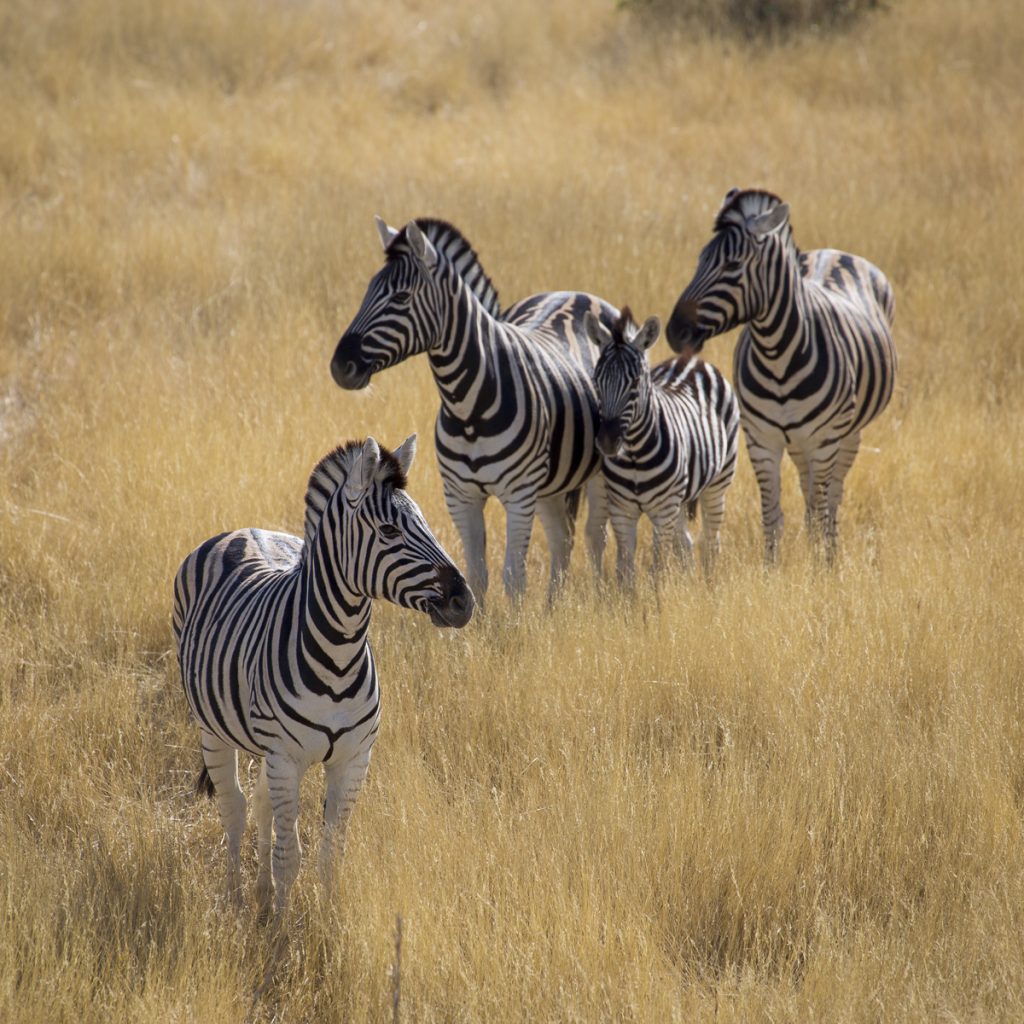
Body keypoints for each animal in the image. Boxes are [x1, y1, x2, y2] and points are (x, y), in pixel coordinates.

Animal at [173, 436, 475, 917]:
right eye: (389, 532)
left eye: (426, 524)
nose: (464, 602)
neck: (340, 654)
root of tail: (242, 530)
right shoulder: (285, 757)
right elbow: (289, 856)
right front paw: (280, 929)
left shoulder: (353, 760)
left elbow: (332, 852)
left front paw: (326, 920)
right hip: (211, 729)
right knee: (234, 808)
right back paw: (237, 899)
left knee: (259, 805)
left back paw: (259, 894)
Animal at [329, 216, 614, 598]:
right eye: (367, 291)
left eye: (401, 297)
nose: (340, 366)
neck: (467, 406)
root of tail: (577, 293)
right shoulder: (461, 497)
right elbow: (477, 575)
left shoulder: (518, 495)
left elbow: (513, 577)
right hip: (548, 484)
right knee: (562, 538)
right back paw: (553, 605)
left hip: (600, 471)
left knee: (594, 536)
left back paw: (604, 597)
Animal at [585, 305, 737, 585]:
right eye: (596, 379)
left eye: (635, 381)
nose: (608, 442)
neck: (635, 454)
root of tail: (690, 359)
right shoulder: (622, 511)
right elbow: (625, 571)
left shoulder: (663, 511)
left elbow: (657, 568)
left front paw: (659, 596)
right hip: (680, 497)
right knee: (685, 543)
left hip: (718, 483)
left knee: (711, 543)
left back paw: (709, 586)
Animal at [663, 188, 897, 565]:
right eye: (700, 259)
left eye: (732, 265)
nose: (674, 332)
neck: (778, 357)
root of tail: (832, 251)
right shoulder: (761, 440)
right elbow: (772, 515)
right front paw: (770, 569)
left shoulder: (823, 441)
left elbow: (821, 510)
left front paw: (820, 569)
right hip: (799, 442)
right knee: (810, 492)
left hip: (846, 435)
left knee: (832, 498)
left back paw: (830, 555)